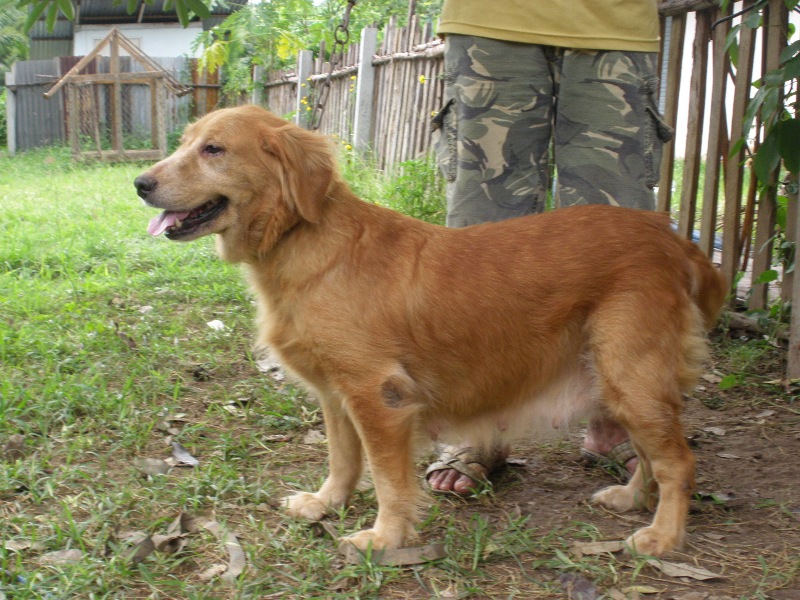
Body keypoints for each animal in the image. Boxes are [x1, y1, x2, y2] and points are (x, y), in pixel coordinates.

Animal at [135, 105, 727, 556]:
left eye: (214, 150)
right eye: (186, 143)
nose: (139, 183)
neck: (304, 242)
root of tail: (672, 237)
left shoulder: (378, 397)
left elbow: (388, 480)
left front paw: (385, 537)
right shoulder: (336, 395)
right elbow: (343, 460)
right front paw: (326, 503)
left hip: (628, 374)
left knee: (679, 461)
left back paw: (663, 535)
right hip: (620, 379)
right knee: (652, 455)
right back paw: (632, 499)